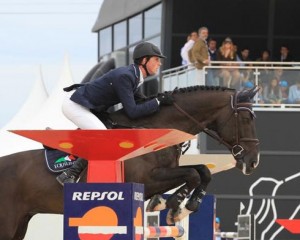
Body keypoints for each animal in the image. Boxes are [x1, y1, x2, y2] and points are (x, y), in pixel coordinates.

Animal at [0, 85, 258, 239]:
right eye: (245, 119)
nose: (253, 161)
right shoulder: (148, 179)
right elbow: (193, 174)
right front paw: (175, 204)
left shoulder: (164, 173)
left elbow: (202, 171)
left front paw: (181, 206)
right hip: (8, 223)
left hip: (20, 223)